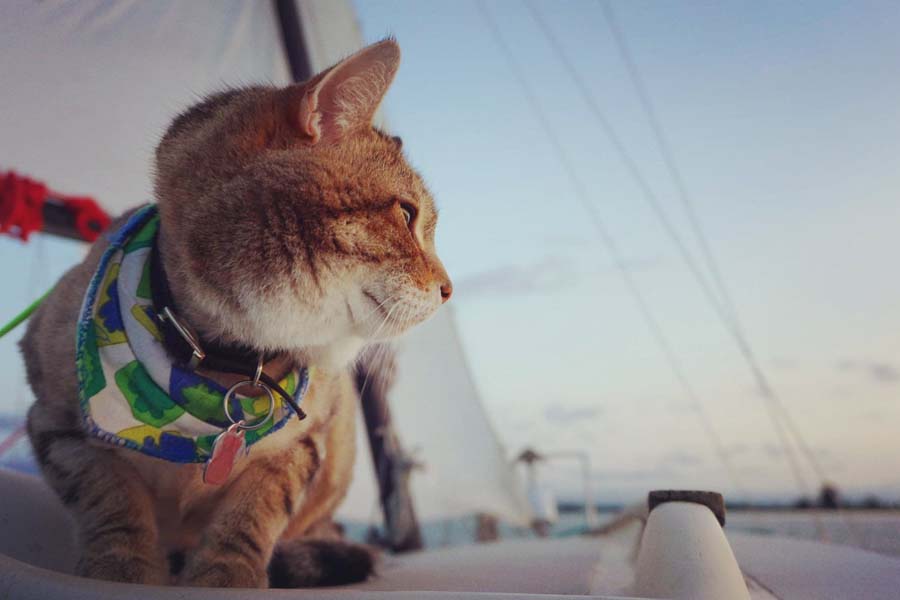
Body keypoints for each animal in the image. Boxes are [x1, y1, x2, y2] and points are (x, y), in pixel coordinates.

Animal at [16, 39, 446, 588]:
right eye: (407, 215)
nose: (449, 289)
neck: (228, 358)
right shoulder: (58, 421)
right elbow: (110, 503)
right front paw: (121, 570)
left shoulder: (303, 449)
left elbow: (251, 519)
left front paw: (228, 575)